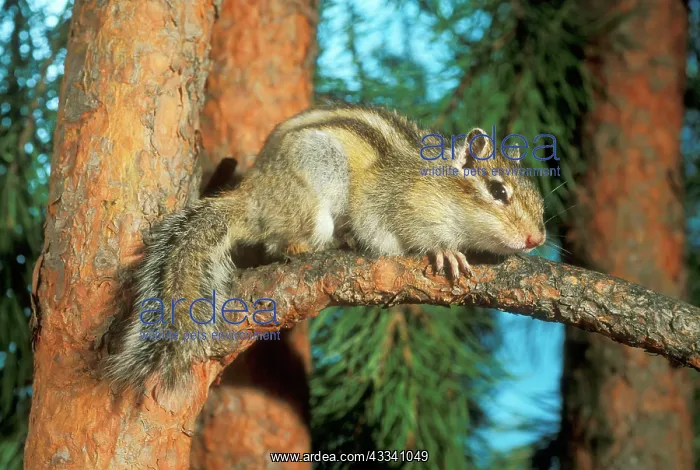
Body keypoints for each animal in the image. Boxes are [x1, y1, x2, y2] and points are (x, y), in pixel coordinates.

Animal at [104, 104, 546, 393]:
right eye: (498, 191)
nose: (537, 239)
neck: (439, 186)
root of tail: (252, 195)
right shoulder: (386, 203)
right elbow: (401, 233)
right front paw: (444, 251)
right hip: (318, 180)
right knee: (284, 241)